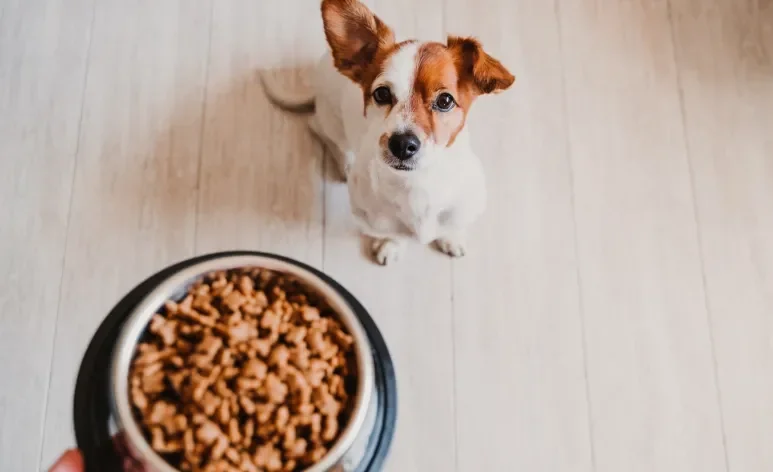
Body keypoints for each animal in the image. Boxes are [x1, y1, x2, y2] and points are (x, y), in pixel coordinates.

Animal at [262, 0, 516, 264]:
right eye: (382, 93)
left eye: (445, 100)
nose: (402, 144)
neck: (417, 184)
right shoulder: (373, 220)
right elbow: (392, 234)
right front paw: (391, 245)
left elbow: (452, 226)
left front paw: (451, 238)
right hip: (331, 122)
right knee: (320, 130)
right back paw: (344, 163)